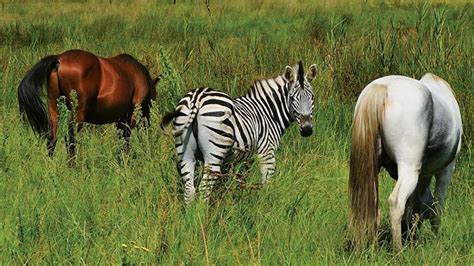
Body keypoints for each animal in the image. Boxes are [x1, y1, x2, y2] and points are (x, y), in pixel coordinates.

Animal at [18, 49, 159, 158]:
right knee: (71, 139)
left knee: (52, 139)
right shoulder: (131, 115)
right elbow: (126, 139)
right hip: (77, 114)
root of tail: (59, 59)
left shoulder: (121, 119)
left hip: (53, 108)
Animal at [161, 61, 316, 202]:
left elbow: (238, 182)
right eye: (292, 98)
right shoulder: (267, 152)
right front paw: (266, 204)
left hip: (185, 152)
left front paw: (237, 202)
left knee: (189, 189)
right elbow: (267, 183)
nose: (307, 129)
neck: (268, 113)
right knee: (204, 188)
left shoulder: (243, 158)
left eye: (312, 97)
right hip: (214, 152)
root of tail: (197, 98)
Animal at [348, 73, 462, 251]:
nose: (413, 236)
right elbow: (437, 208)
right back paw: (398, 251)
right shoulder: (446, 171)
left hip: (374, 167)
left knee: (370, 204)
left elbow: (413, 204)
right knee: (396, 203)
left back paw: (371, 247)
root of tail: (384, 88)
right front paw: (436, 240)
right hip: (409, 169)